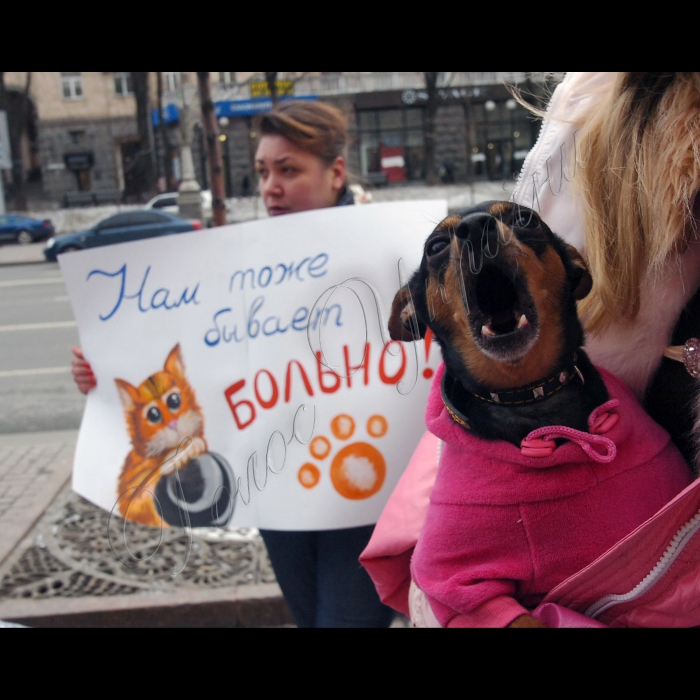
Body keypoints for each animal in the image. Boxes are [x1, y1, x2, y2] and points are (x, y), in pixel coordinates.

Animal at [386, 202, 692, 628]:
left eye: (524, 220)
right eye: (435, 246)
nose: (475, 227)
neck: (529, 400)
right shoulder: (456, 582)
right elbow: (519, 617)